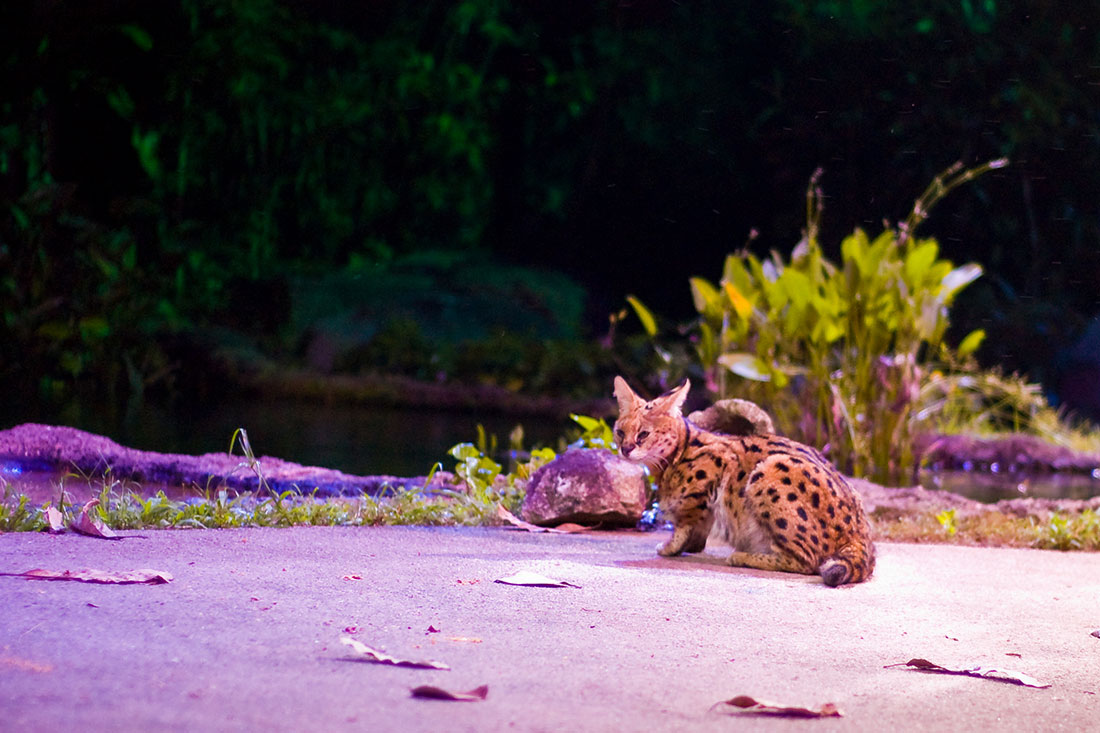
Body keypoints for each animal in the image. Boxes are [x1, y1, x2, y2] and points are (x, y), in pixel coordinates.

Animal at [611, 376, 875, 581]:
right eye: (620, 432)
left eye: (643, 435)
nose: (625, 449)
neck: (673, 458)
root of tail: (862, 534)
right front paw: (689, 546)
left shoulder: (710, 476)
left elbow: (684, 524)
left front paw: (669, 547)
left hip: (769, 470)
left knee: (807, 562)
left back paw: (743, 556)